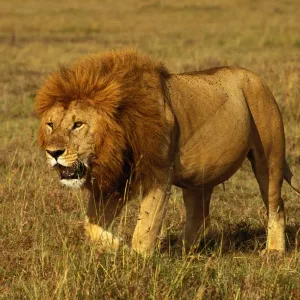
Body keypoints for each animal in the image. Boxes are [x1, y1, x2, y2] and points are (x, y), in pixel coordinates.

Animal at [35, 49, 300, 255]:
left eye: (78, 124)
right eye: (51, 124)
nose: (53, 152)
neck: (117, 141)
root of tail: (258, 79)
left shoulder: (158, 175)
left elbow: (145, 228)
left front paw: (136, 260)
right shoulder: (117, 180)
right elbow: (90, 227)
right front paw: (119, 247)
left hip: (269, 159)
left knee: (277, 205)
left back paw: (274, 251)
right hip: (200, 176)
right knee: (199, 216)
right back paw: (183, 252)